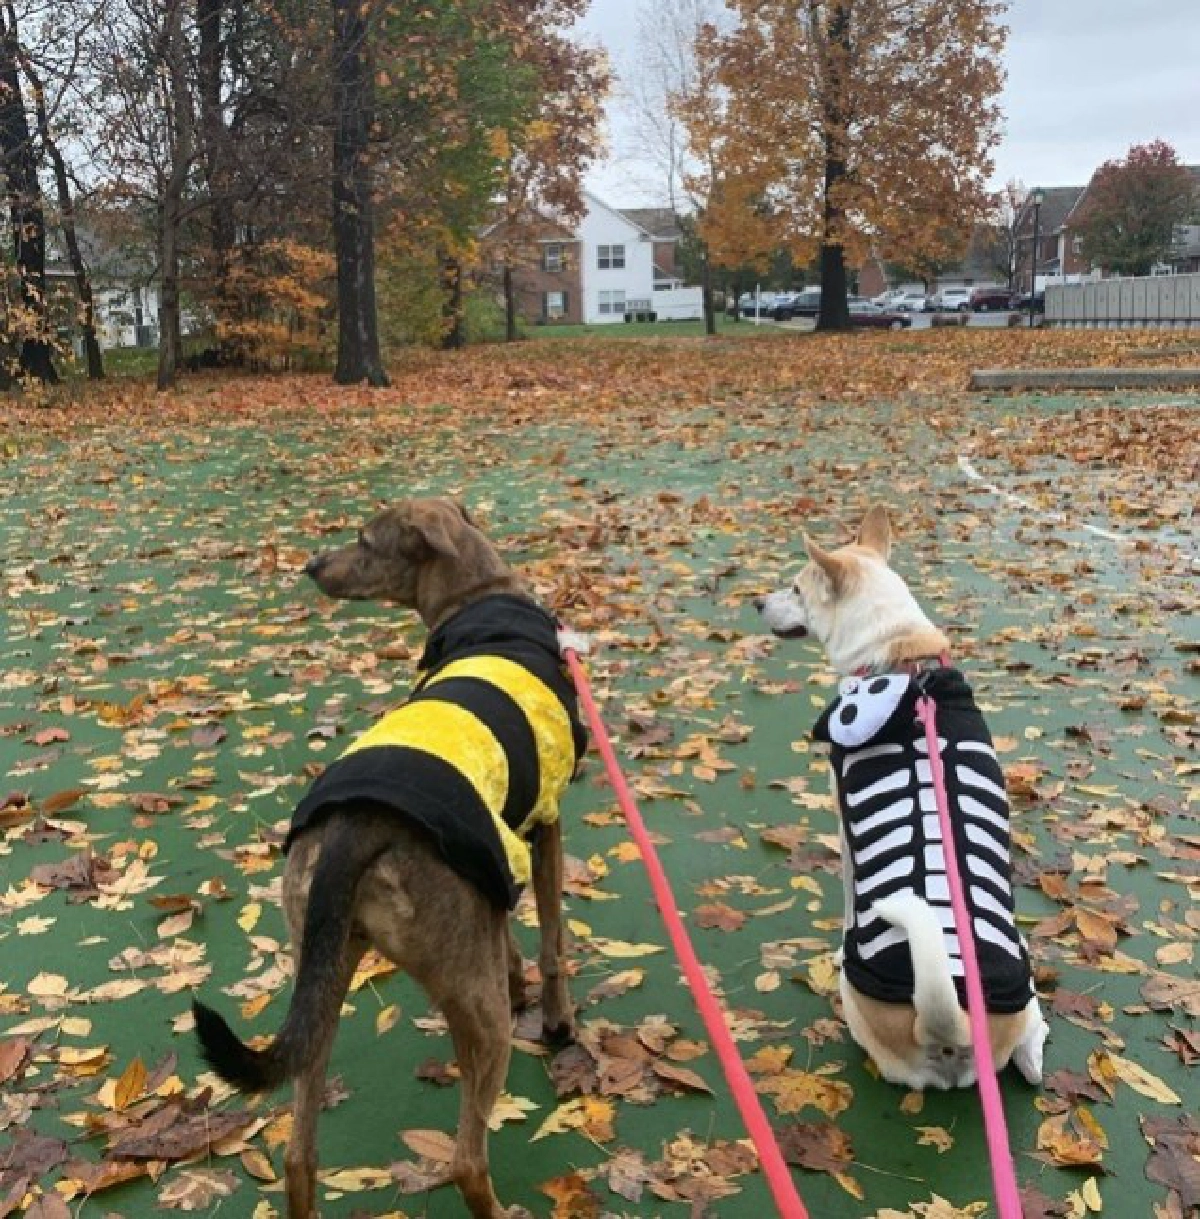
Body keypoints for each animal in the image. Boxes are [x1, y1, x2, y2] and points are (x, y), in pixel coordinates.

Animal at [193, 497, 586, 1218]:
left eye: (362, 540)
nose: (311, 565)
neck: (481, 598)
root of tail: (355, 830)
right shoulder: (545, 826)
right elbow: (551, 937)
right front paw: (556, 1019)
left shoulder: (499, 857)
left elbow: (511, 939)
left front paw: (520, 979)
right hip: (477, 1021)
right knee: (466, 1161)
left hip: (322, 984)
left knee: (299, 1157)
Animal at [756, 504, 1048, 1091]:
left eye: (796, 588)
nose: (756, 602)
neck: (900, 654)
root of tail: (952, 1026)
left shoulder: (845, 826)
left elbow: (848, 893)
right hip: (1025, 972)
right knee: (1033, 1045)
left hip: (857, 998)